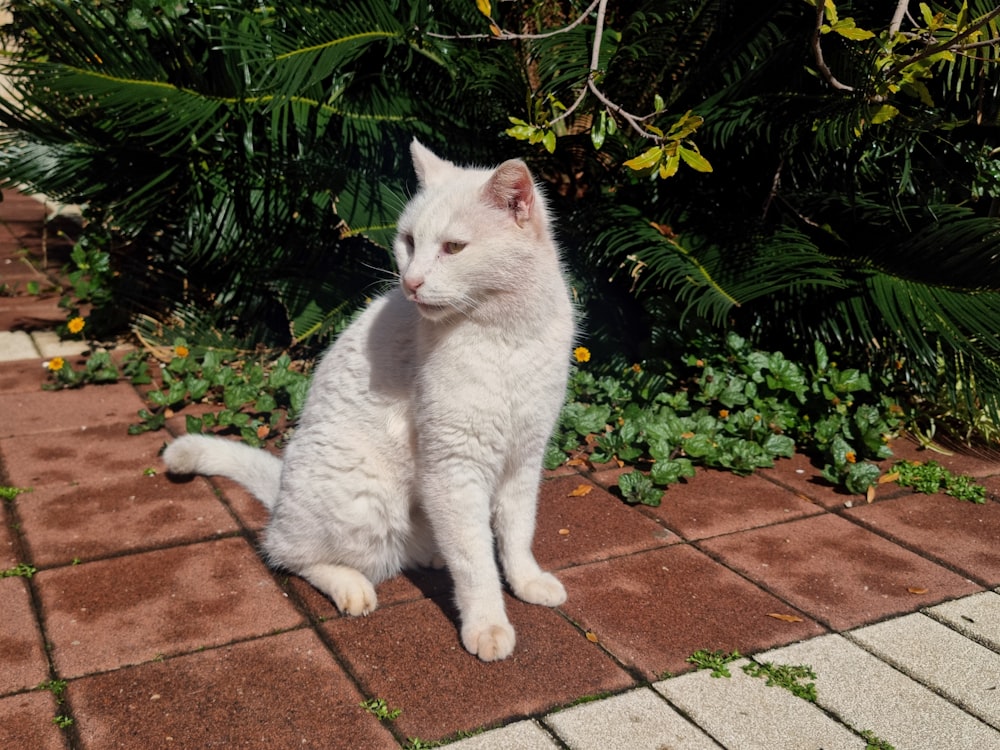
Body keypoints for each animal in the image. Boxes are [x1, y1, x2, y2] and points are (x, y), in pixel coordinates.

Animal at [161, 142, 576, 664]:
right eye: (409, 241)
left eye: (453, 248)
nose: (411, 282)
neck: (505, 335)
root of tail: (282, 490)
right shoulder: (454, 467)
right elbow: (475, 561)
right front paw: (487, 625)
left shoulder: (525, 458)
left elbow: (517, 533)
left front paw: (526, 582)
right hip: (361, 502)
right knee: (285, 551)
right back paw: (352, 587)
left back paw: (429, 554)